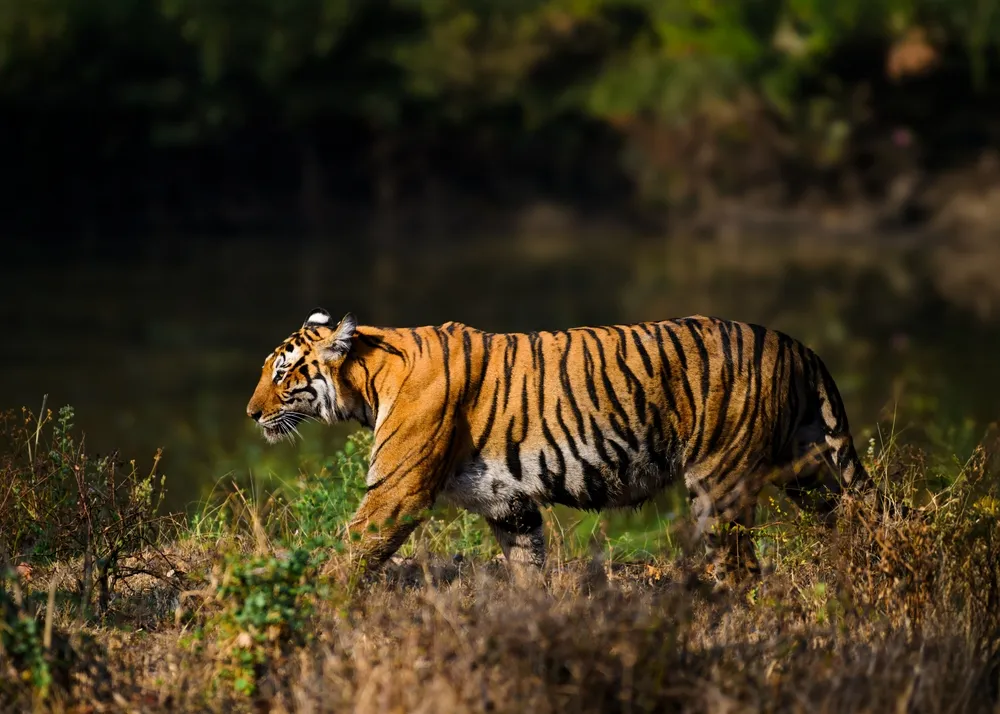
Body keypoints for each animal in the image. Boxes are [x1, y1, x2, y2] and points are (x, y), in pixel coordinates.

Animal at [246, 308, 869, 583]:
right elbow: (527, 566)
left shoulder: (394, 495)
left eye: (281, 374)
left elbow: (347, 554)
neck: (370, 380)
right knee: (851, 518)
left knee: (741, 568)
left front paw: (311, 597)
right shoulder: (508, 503)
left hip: (720, 481)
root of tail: (795, 345)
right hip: (808, 470)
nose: (251, 413)